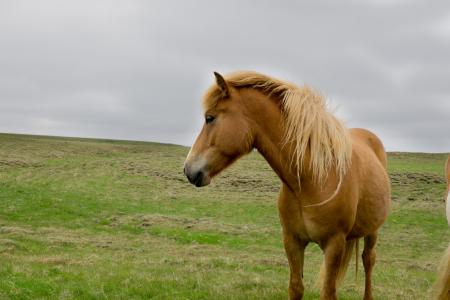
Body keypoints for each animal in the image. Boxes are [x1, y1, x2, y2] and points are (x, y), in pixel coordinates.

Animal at [185, 71, 392, 298]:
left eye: (210, 118)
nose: (188, 170)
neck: (312, 180)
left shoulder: (334, 243)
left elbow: (328, 292)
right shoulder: (292, 241)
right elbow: (296, 287)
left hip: (372, 231)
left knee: (368, 260)